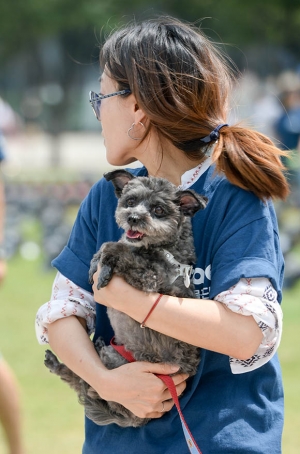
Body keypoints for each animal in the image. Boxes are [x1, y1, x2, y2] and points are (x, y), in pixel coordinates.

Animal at [44, 171, 207, 430]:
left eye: (158, 209)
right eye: (130, 201)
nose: (133, 218)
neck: (160, 246)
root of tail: (133, 419)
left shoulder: (150, 277)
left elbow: (115, 247)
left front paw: (104, 265)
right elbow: (110, 246)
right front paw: (96, 261)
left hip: (113, 362)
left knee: (87, 386)